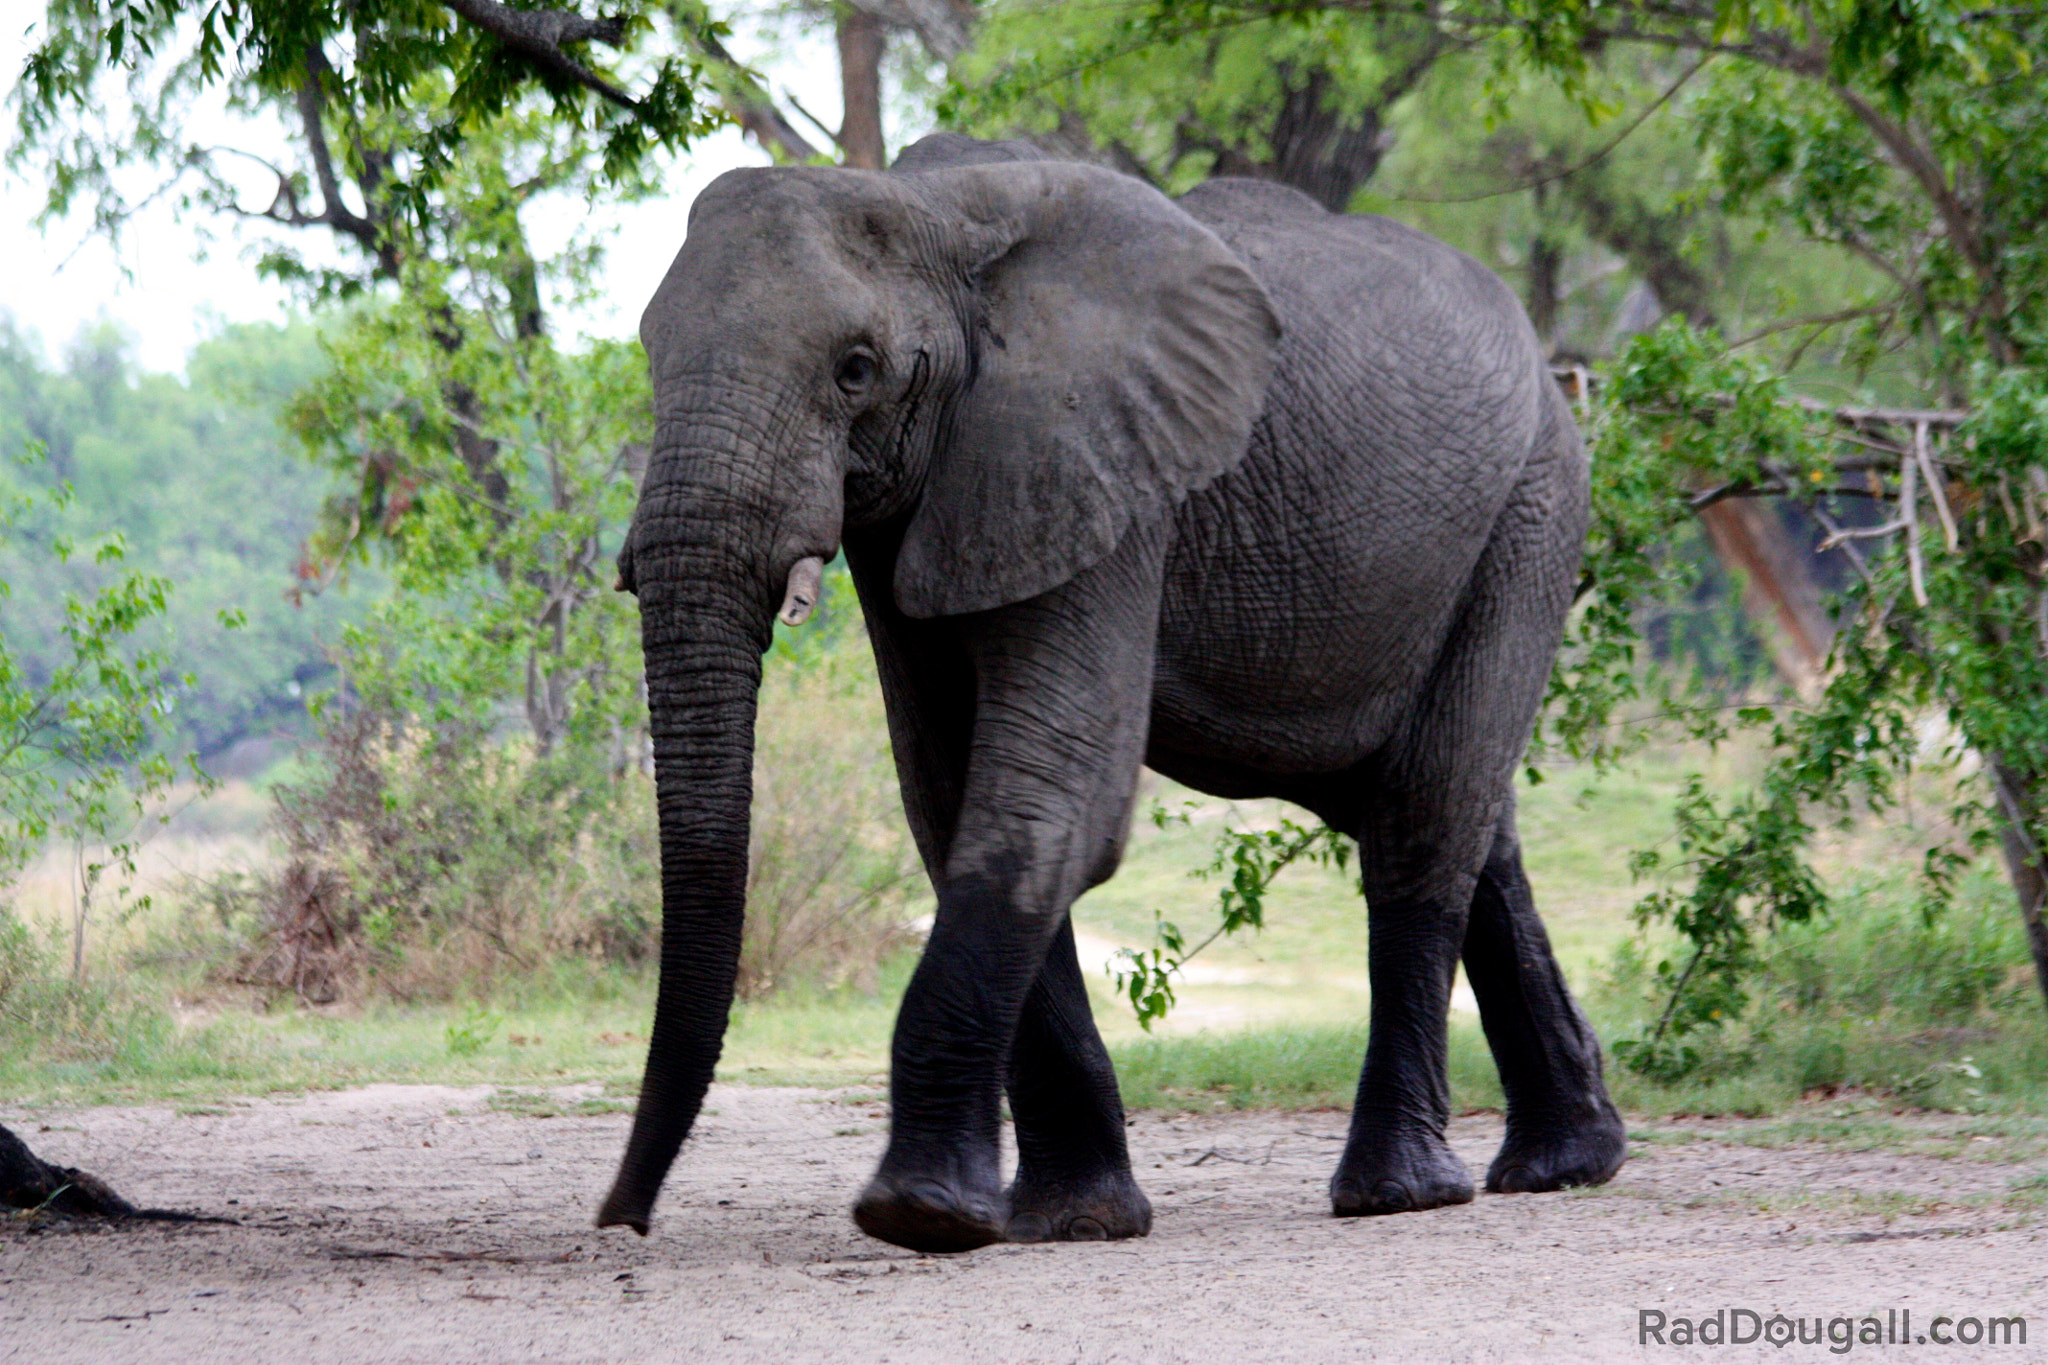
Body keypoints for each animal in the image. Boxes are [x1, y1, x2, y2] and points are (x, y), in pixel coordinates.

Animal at [595, 131, 1626, 1254]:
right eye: (648, 355)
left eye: (855, 369)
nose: (624, 1219)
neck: (932, 214)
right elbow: (950, 797)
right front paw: (1068, 1220)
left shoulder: (1104, 471)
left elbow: (1051, 795)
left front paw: (918, 1215)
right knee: (1457, 813)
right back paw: (1567, 1165)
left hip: (1531, 508)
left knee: (1424, 815)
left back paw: (1398, 1192)